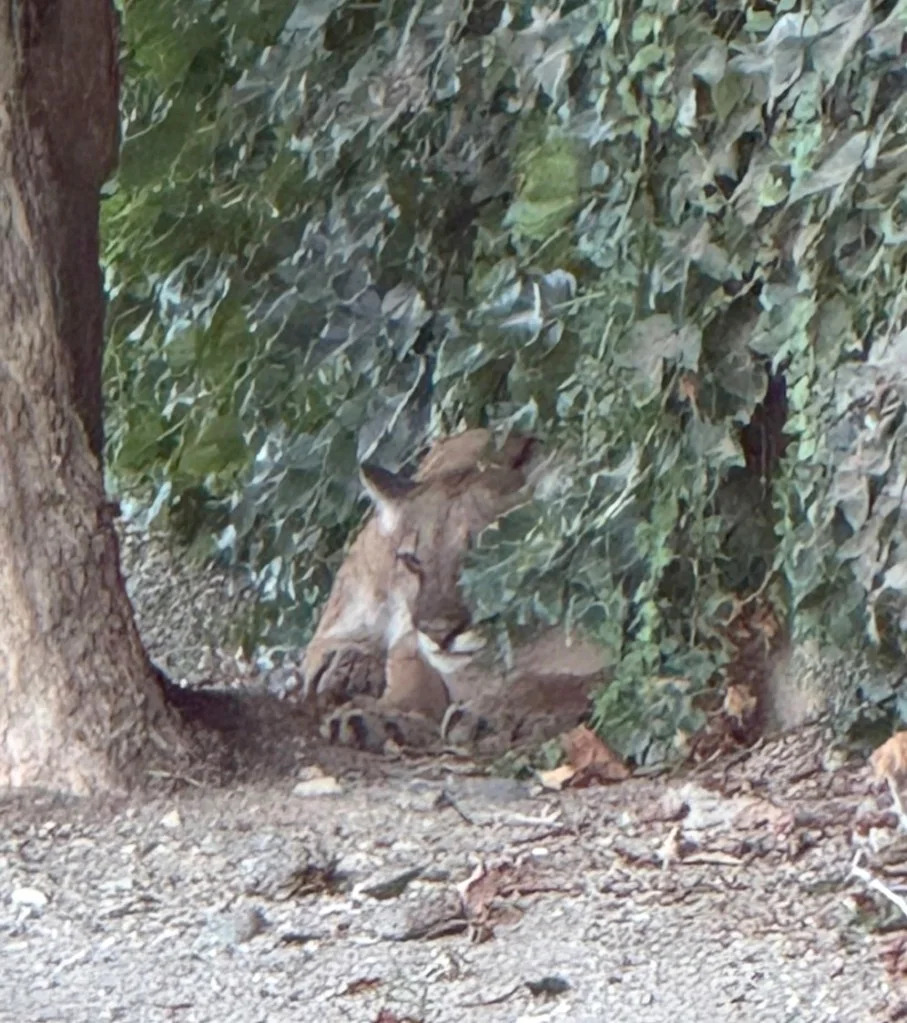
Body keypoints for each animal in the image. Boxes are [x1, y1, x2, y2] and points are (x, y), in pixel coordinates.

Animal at [302, 429, 606, 752]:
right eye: (411, 561)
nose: (438, 632)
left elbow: (563, 685)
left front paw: (489, 715)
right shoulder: (410, 638)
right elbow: (412, 676)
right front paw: (384, 715)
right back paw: (346, 667)